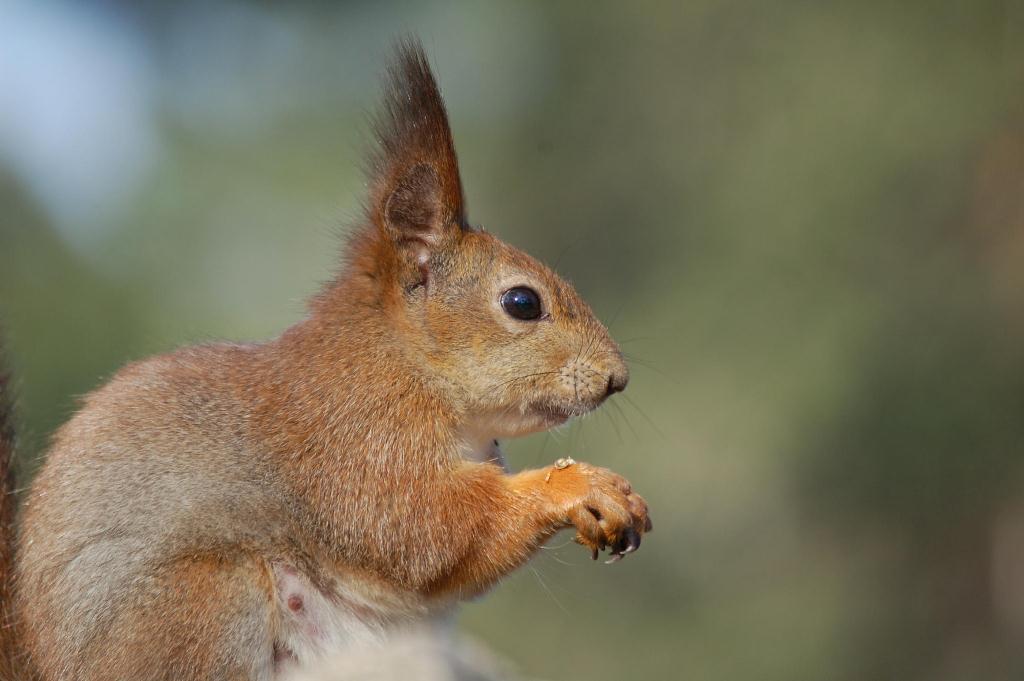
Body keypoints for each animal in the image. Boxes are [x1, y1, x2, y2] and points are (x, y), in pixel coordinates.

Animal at [0, 39, 651, 675]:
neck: (401, 362)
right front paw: (578, 486)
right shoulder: (355, 442)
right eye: (522, 302)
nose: (617, 378)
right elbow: (428, 528)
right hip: (210, 600)